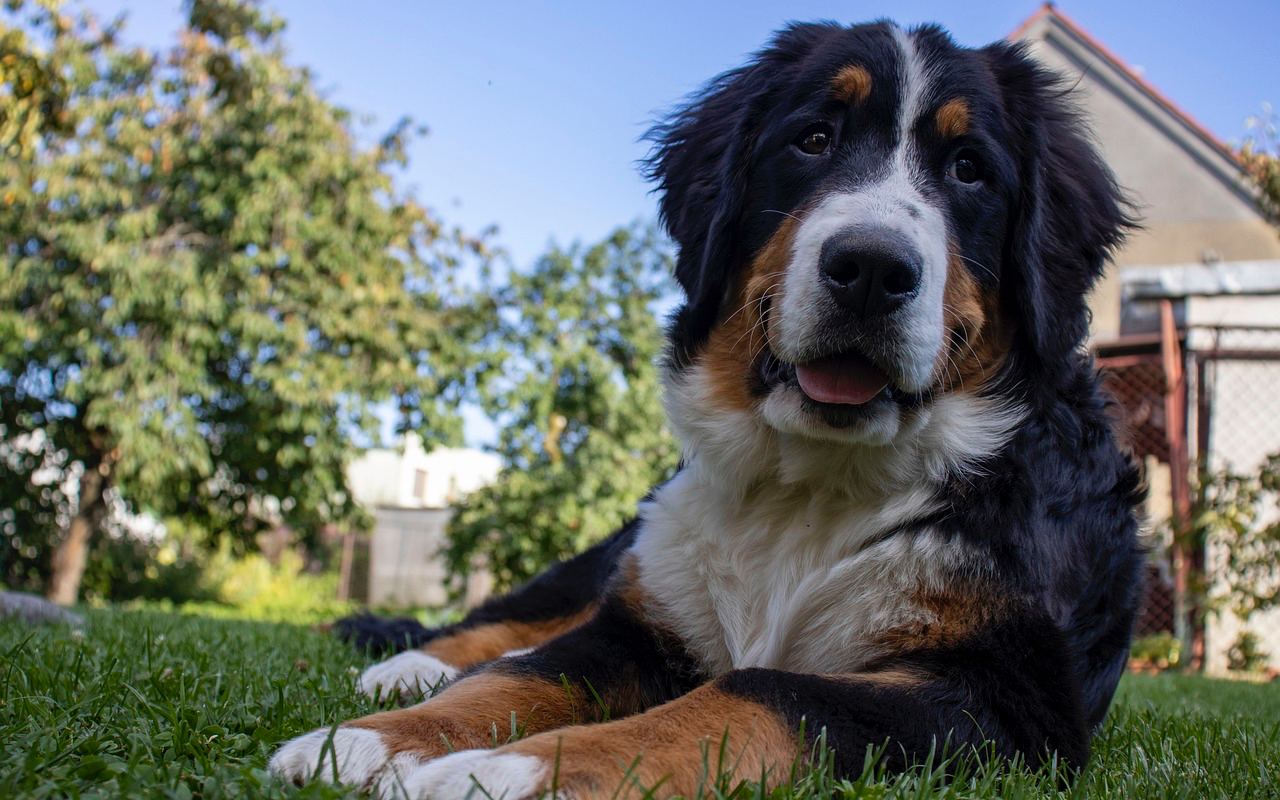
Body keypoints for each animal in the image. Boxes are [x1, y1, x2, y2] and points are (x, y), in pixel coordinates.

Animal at [267, 20, 1141, 798]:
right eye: (813, 140)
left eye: (968, 169)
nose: (869, 267)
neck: (811, 486)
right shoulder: (639, 626)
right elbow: (528, 675)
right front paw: (372, 745)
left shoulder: (1008, 702)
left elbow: (760, 689)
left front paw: (517, 771)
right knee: (522, 618)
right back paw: (409, 669)